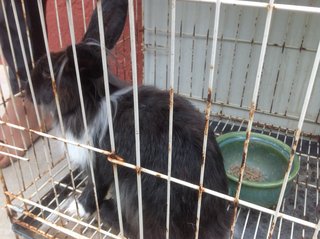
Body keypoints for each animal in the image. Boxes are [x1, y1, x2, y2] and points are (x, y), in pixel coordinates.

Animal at [26, 0, 229, 238]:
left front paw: (77, 208)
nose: (25, 87)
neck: (92, 104)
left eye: (48, 74)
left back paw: (107, 211)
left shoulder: (101, 162)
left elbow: (94, 188)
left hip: (137, 194)